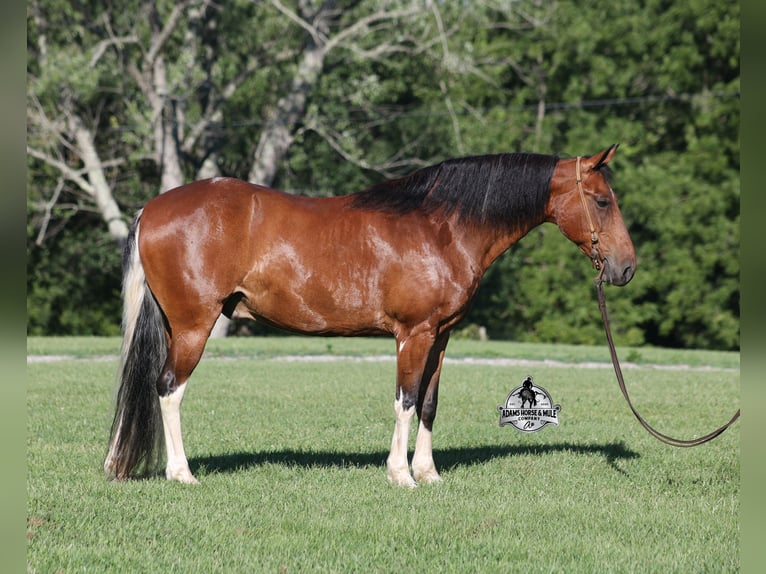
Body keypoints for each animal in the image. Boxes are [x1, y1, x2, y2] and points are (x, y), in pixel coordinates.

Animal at [104, 145, 636, 487]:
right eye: (603, 201)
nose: (626, 267)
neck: (441, 227)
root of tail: (152, 208)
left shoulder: (441, 336)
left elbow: (428, 403)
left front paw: (428, 473)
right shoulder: (413, 335)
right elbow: (405, 399)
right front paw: (401, 476)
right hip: (194, 326)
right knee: (169, 389)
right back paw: (182, 475)